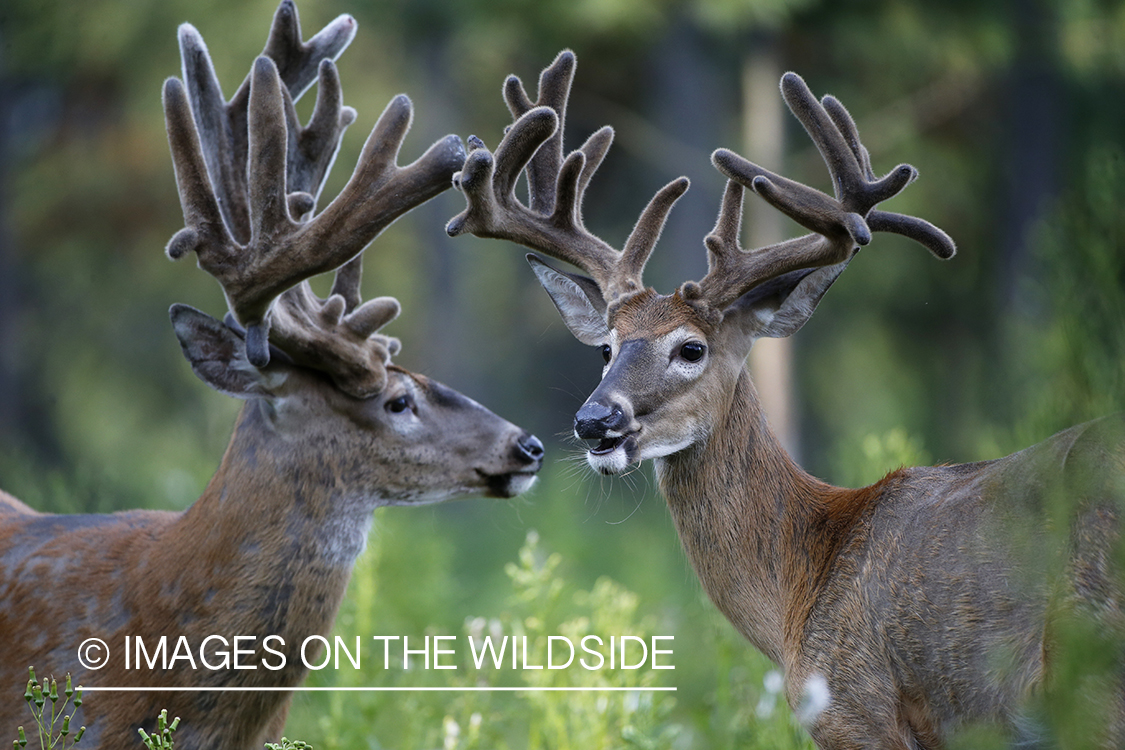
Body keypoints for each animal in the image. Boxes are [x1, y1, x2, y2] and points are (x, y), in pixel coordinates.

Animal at [447, 49, 1125, 746]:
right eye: (605, 349)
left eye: (691, 349)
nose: (594, 421)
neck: (806, 579)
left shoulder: (858, 710)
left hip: (1093, 670)